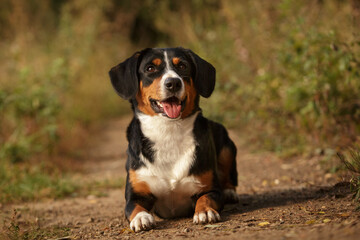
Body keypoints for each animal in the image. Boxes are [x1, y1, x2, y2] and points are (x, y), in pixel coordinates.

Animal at [109, 47, 239, 232]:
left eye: (183, 66)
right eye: (150, 68)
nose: (173, 83)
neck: (168, 131)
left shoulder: (210, 189)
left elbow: (205, 198)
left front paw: (205, 211)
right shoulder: (135, 194)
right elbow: (134, 207)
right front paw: (141, 218)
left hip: (227, 147)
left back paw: (229, 192)